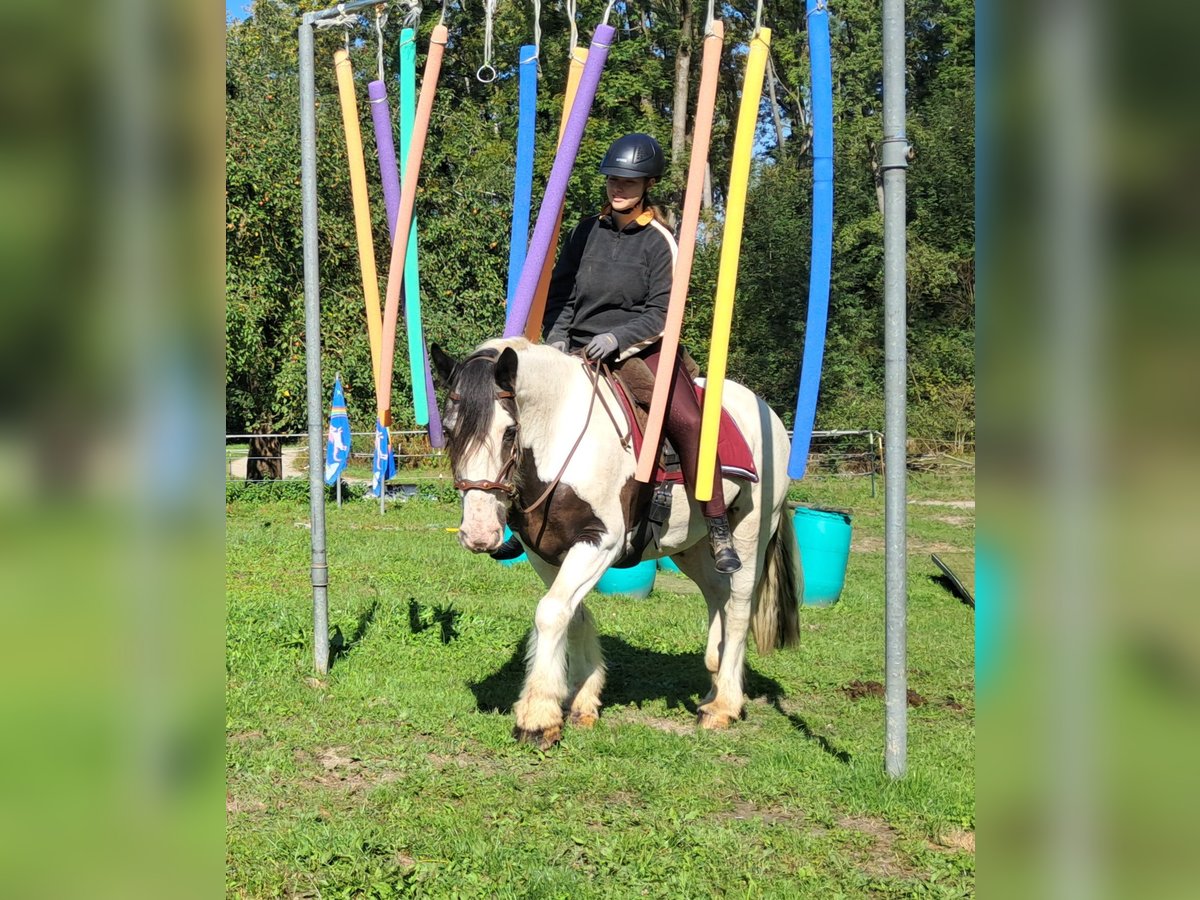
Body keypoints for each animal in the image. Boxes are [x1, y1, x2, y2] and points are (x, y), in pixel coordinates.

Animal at [432, 336, 806, 748]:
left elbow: (550, 612)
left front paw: (538, 717)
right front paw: (581, 700)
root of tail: (767, 414)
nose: (479, 534)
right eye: (448, 431)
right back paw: (716, 688)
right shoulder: (543, 552)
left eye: (510, 431)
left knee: (738, 607)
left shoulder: (601, 543)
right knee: (717, 596)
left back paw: (722, 707)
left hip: (752, 530)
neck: (562, 437)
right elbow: (572, 615)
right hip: (691, 547)